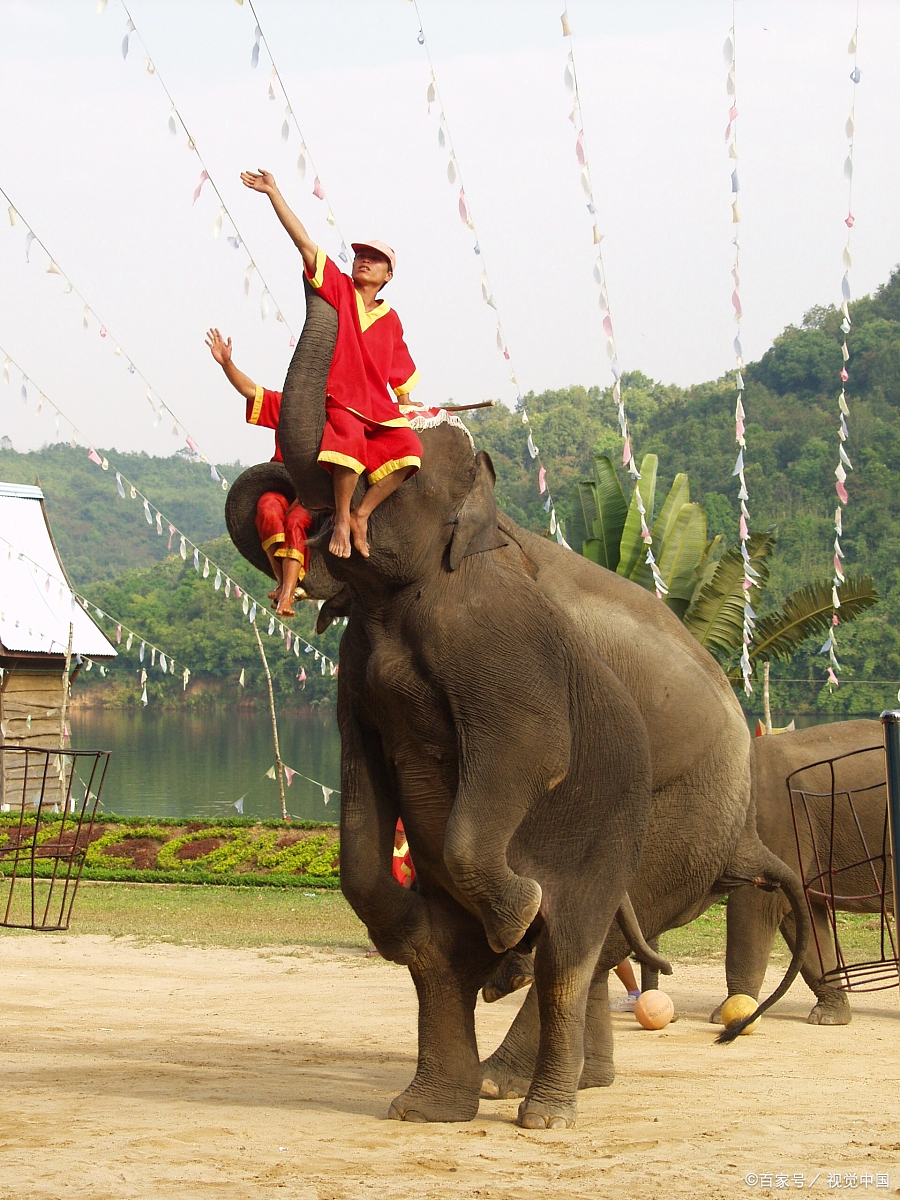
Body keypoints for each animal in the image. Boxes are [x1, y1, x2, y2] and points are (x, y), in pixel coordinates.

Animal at [226, 281, 810, 1125]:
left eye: (386, 474)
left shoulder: (494, 646)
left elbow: (527, 752)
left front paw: (512, 930)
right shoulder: (360, 669)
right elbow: (359, 768)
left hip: (677, 816)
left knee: (592, 935)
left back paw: (515, 1070)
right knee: (573, 946)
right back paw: (537, 1069)